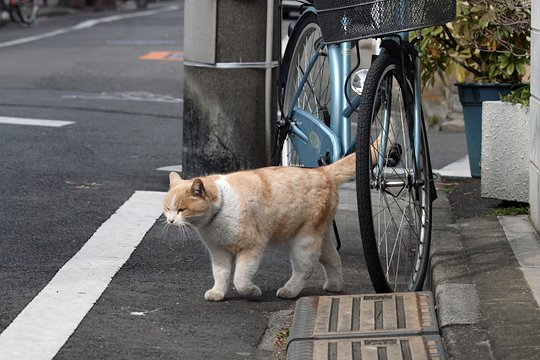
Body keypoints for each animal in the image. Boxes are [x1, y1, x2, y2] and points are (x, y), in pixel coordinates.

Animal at [162, 154, 356, 300]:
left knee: (305, 269)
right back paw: (334, 286)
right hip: (319, 237)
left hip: (303, 241)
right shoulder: (218, 251)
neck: (220, 208)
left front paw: (253, 292)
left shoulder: (251, 247)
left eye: (181, 209)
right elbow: (221, 274)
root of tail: (323, 171)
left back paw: (289, 291)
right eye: (167, 208)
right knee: (333, 258)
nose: (170, 221)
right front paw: (218, 293)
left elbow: (240, 279)